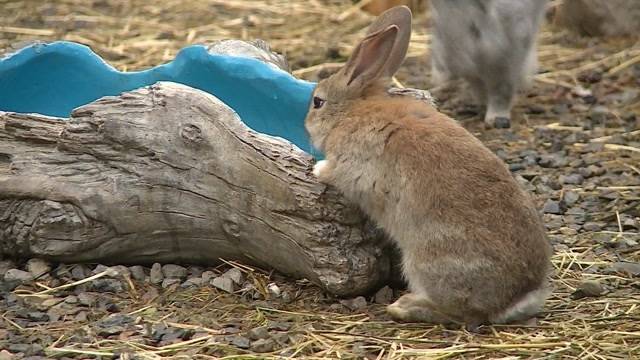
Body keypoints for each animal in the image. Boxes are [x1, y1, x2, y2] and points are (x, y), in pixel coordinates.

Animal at [428, 0, 548, 129]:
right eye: (438, 31)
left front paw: (495, 118)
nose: (453, 68)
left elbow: (501, 93)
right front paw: (483, 105)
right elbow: (480, 90)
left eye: (475, 30)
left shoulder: (508, 64)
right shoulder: (474, 77)